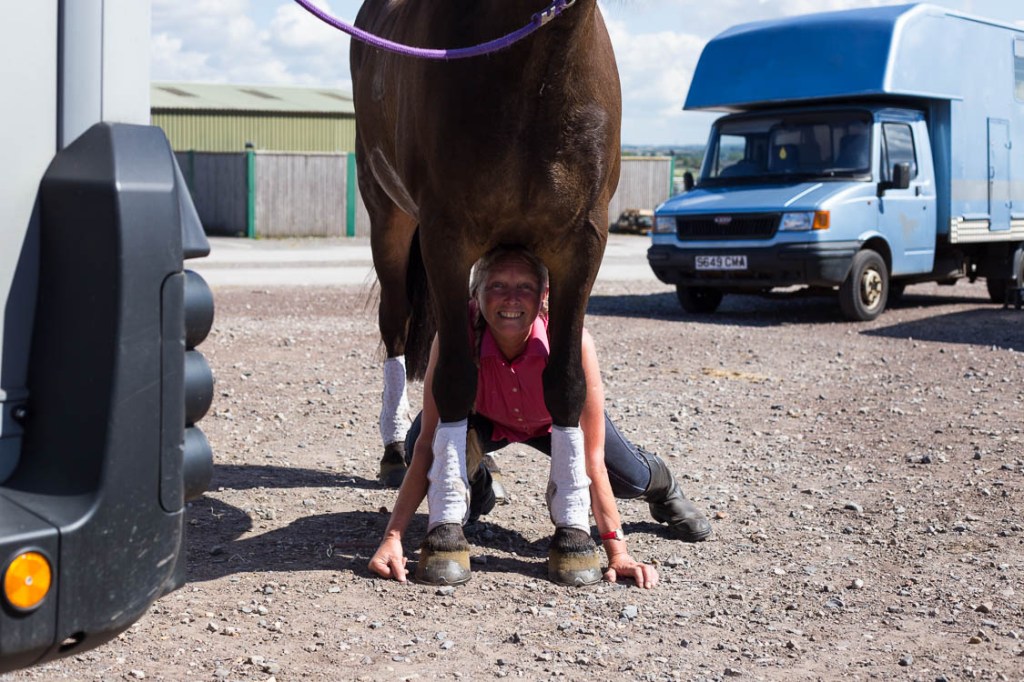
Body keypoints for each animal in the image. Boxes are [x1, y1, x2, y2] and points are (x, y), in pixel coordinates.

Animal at [351, 0, 622, 585]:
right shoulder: (446, 237)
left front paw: (574, 537)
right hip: (390, 218)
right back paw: (396, 450)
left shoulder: (583, 242)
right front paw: (445, 534)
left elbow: (567, 383)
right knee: (396, 326)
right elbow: (454, 379)